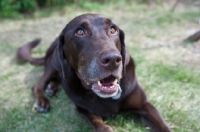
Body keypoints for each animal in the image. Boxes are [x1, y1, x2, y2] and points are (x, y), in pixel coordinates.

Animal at [16, 13, 171, 132]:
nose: (113, 59)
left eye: (113, 30)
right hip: (53, 65)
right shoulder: (82, 109)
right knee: (38, 84)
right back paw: (42, 101)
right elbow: (99, 124)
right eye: (79, 32)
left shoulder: (145, 105)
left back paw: (52, 88)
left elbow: (164, 126)